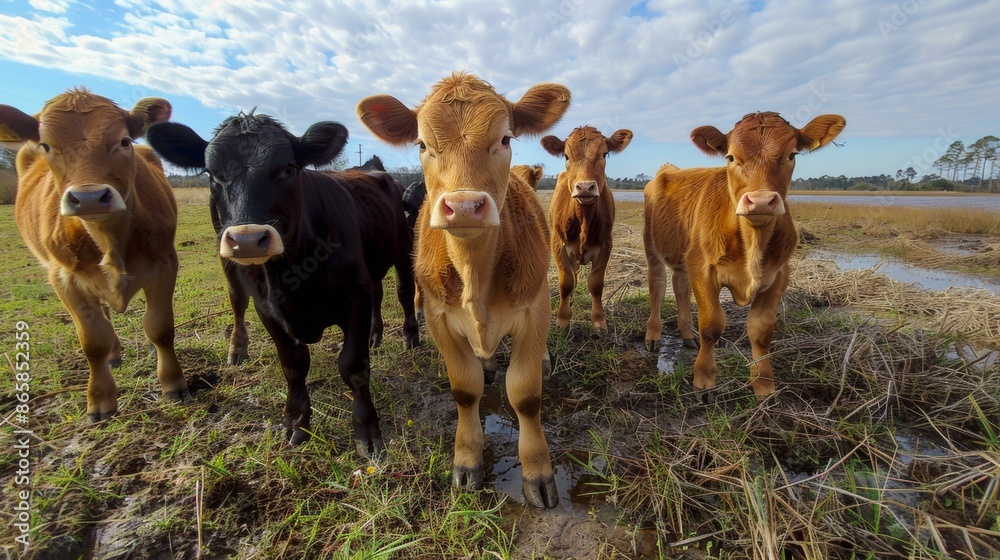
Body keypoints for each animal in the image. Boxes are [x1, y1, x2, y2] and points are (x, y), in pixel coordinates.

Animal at [0, 89, 188, 421]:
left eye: (123, 141)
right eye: (47, 145)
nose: (88, 197)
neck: (108, 238)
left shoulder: (165, 262)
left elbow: (160, 327)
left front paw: (173, 384)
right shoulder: (63, 278)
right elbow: (92, 342)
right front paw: (100, 401)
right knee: (103, 322)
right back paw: (113, 355)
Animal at [145, 113, 418, 455]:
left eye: (288, 169)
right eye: (211, 173)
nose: (248, 239)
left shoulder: (355, 296)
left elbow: (353, 366)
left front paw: (367, 430)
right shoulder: (268, 308)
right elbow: (293, 365)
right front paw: (296, 422)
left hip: (402, 248)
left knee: (404, 291)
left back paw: (410, 336)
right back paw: (374, 334)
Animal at [357, 72, 570, 508]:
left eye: (505, 138)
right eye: (422, 144)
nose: (465, 206)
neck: (475, 274)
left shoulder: (534, 308)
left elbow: (526, 395)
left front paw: (537, 471)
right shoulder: (438, 317)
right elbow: (465, 391)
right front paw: (468, 460)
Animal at [543, 126, 632, 330]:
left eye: (604, 154)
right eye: (566, 156)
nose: (584, 187)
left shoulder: (606, 245)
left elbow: (596, 284)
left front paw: (599, 319)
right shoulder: (558, 245)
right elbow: (566, 283)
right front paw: (562, 319)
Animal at [643, 112, 845, 395]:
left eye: (792, 155)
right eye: (730, 157)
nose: (760, 201)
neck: (752, 246)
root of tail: (669, 169)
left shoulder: (779, 275)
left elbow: (761, 330)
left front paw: (763, 383)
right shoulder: (704, 270)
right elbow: (712, 326)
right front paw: (704, 379)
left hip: (684, 256)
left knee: (680, 286)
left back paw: (687, 335)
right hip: (652, 247)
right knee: (657, 285)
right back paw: (653, 335)